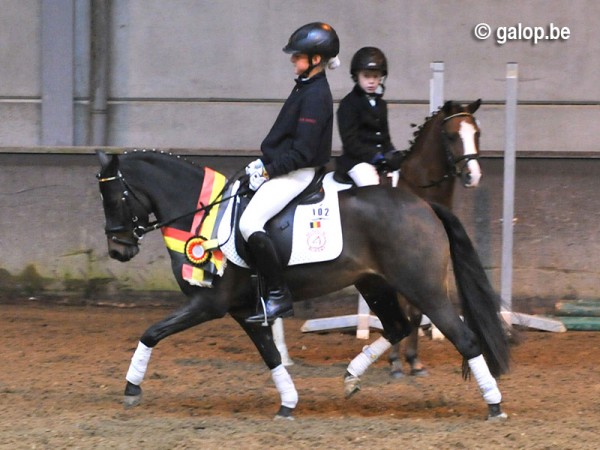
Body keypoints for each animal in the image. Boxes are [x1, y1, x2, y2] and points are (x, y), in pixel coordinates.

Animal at [96, 149, 508, 420]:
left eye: (114, 196)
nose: (118, 249)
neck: (202, 216)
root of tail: (423, 206)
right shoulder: (245, 311)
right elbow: (272, 356)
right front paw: (288, 403)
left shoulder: (208, 304)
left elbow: (151, 332)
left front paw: (131, 388)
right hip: (373, 284)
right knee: (398, 326)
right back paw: (351, 377)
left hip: (424, 288)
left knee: (463, 338)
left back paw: (494, 404)